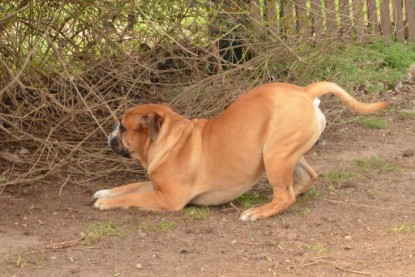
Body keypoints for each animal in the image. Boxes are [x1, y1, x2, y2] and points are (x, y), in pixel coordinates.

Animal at [92, 80, 388, 220]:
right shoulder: (157, 187)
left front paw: (106, 203)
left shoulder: (167, 198)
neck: (171, 138)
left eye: (123, 127)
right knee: (306, 178)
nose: (109, 133)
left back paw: (258, 211)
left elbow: (134, 197)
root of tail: (305, 91)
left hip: (274, 154)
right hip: (287, 152)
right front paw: (105, 192)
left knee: (286, 197)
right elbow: (131, 186)